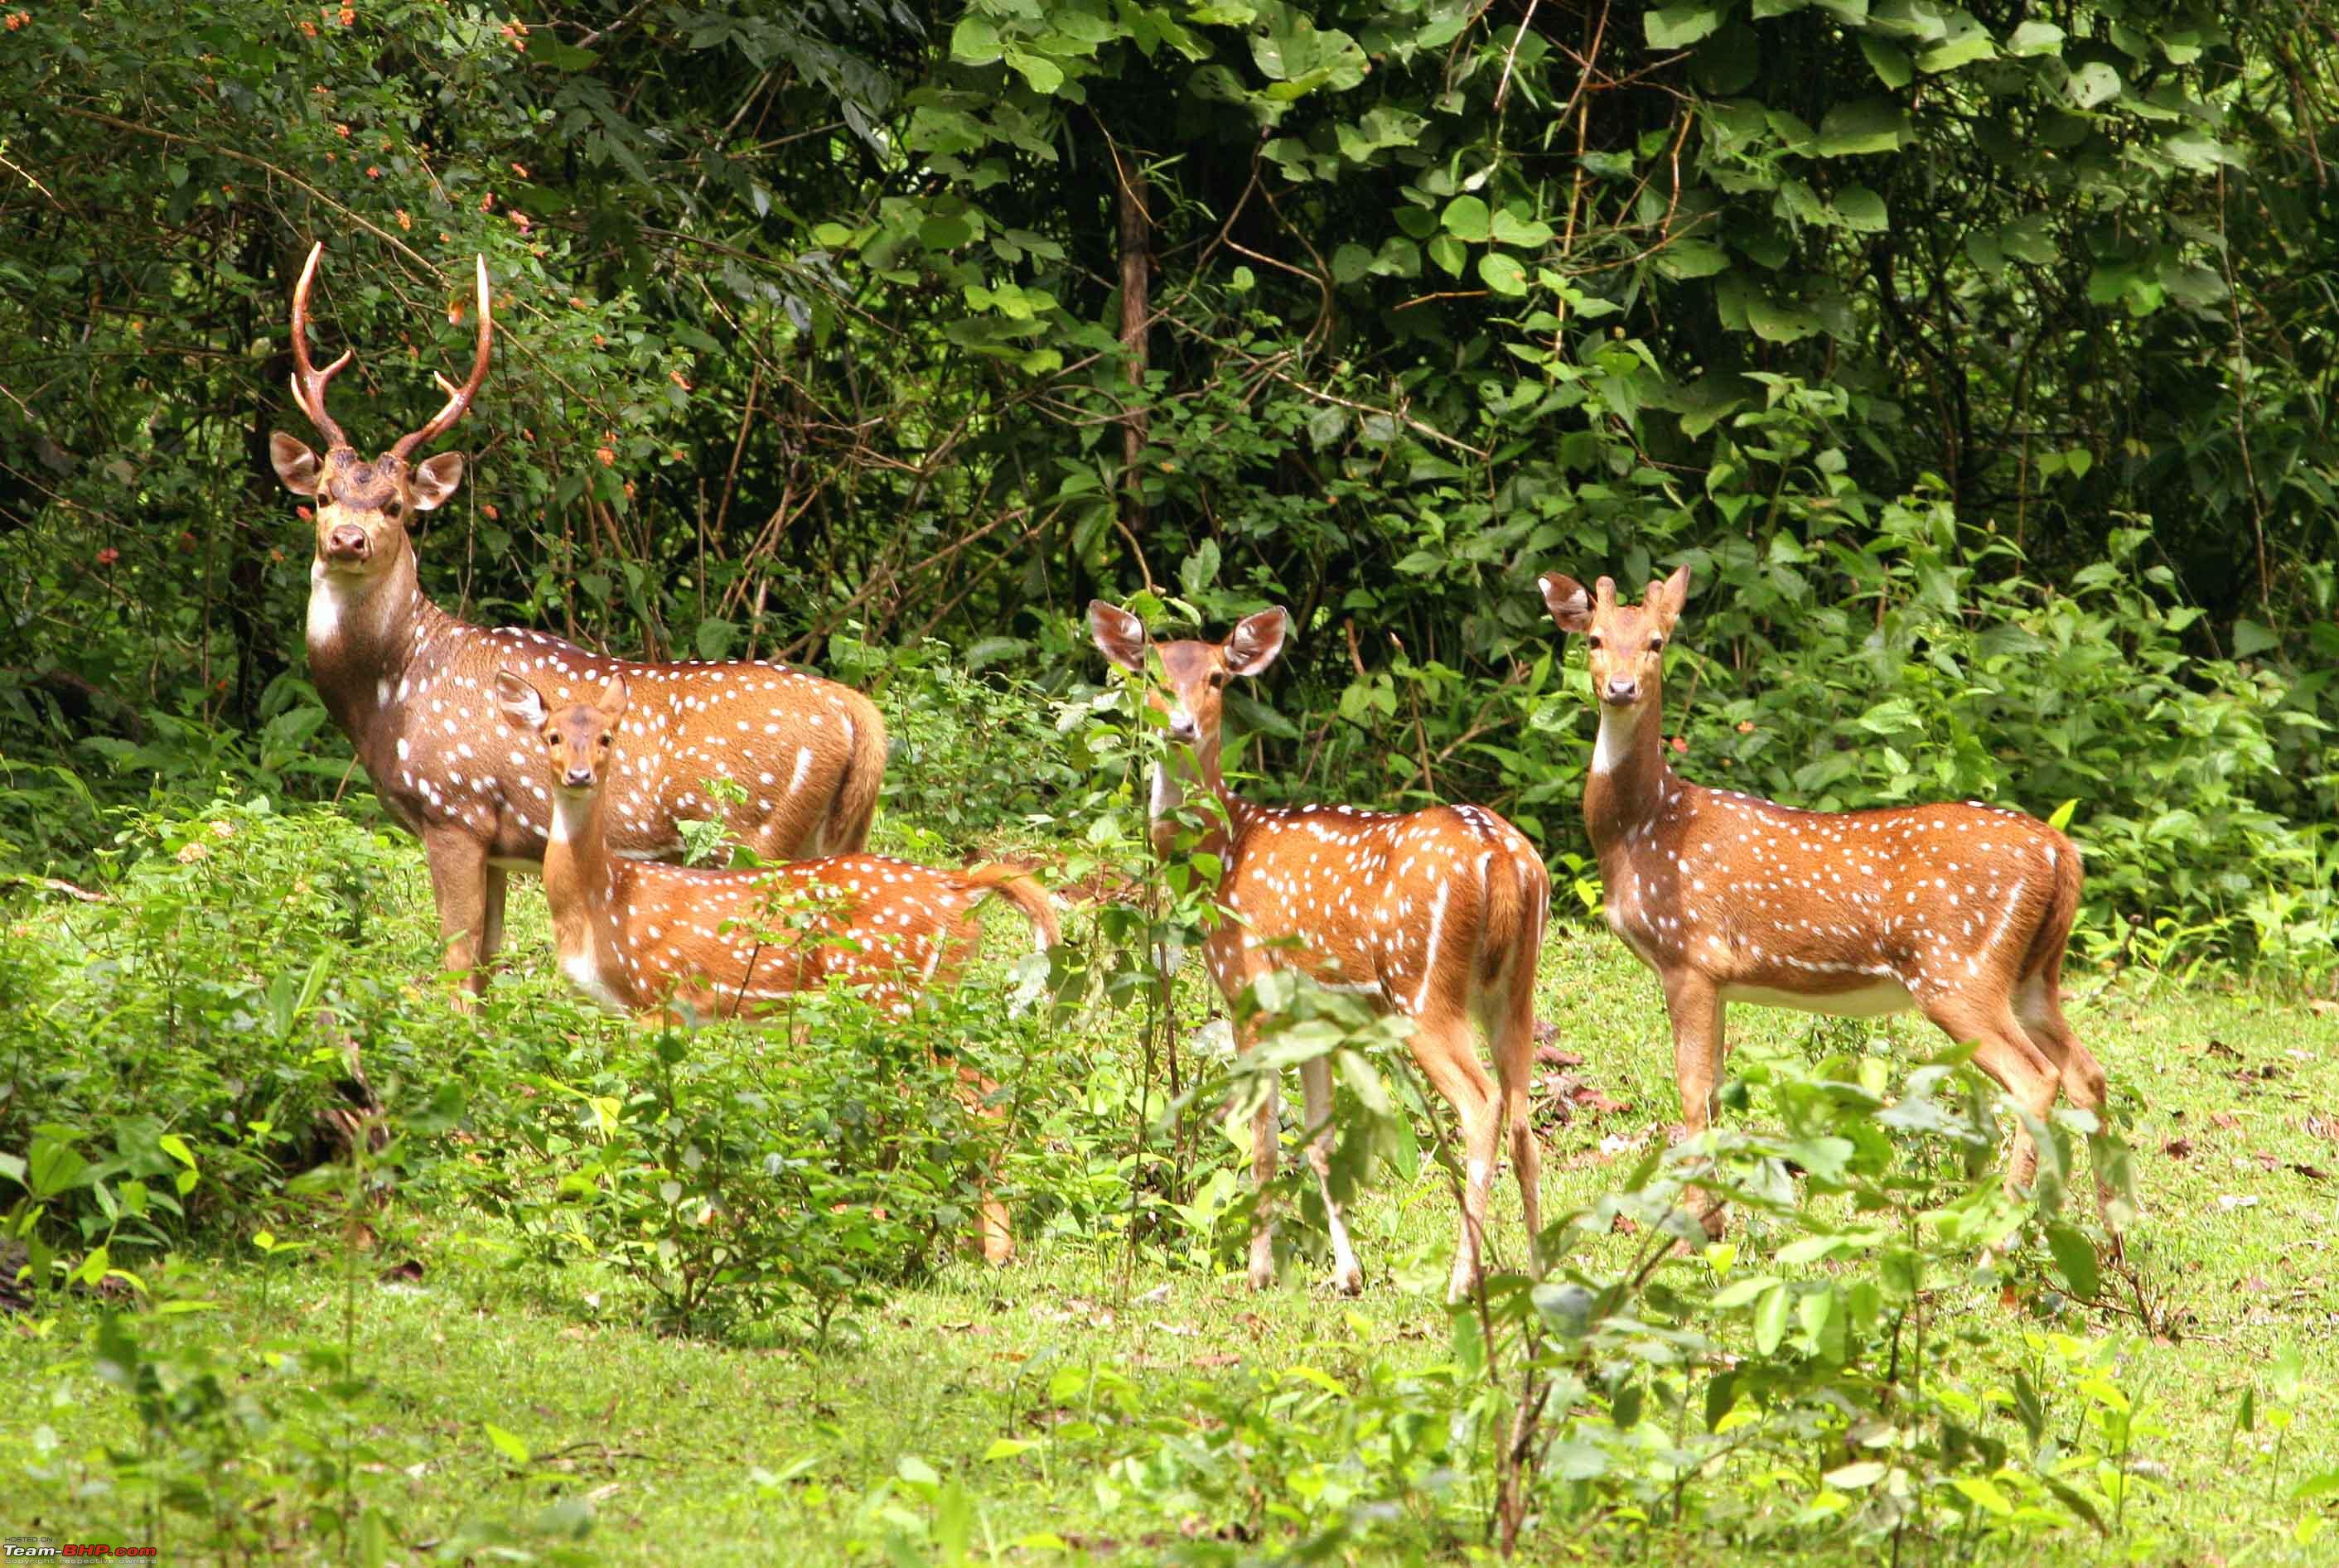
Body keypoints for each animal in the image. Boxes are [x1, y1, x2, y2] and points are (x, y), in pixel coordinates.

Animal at [268, 245, 884, 1005]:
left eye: (396, 507)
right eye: (324, 494)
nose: (347, 540)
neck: (390, 693)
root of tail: (858, 715)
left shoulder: (454, 809)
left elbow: (455, 964)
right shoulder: (498, 845)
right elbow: (486, 966)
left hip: (755, 831)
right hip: (836, 835)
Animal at [502, 668, 1061, 1262]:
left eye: (607, 737)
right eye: (553, 736)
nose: (579, 774)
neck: (603, 901)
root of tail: (957, 888)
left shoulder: (660, 995)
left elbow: (653, 1109)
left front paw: (664, 1216)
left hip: (889, 994)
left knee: (961, 1096)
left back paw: (972, 1243)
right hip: (924, 997)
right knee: (978, 1088)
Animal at [1095, 602, 1553, 1299]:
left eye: (1218, 677)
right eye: (1150, 672)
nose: (1180, 724)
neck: (1221, 855)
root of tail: (1504, 858)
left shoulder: (1249, 989)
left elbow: (1261, 1137)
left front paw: (1258, 1269)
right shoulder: (1315, 1017)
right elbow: (1318, 1140)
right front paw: (1347, 1272)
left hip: (1421, 987)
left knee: (1483, 1106)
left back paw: (1460, 1281)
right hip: (1514, 989)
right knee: (1525, 1117)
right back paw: (1538, 1271)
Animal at [1534, 567, 2124, 1242]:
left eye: (1657, 642)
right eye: (1595, 640)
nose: (1621, 687)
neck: (1643, 827)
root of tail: (2061, 852)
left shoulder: (1689, 955)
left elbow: (1691, 1087)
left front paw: (1694, 1227)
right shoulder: (1717, 976)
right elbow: (1714, 1088)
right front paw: (1717, 1222)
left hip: (1958, 969)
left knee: (2036, 1079)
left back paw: (1995, 1240)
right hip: (2032, 973)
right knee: (2087, 1073)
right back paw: (2111, 1239)